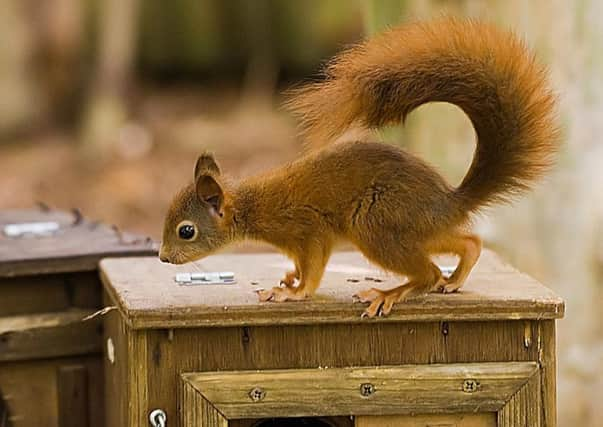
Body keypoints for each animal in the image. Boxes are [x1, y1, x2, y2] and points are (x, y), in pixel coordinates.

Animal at [158, 17, 560, 318]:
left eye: (186, 231)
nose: (162, 257)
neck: (252, 206)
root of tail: (449, 202)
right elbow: (301, 266)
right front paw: (289, 278)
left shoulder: (310, 230)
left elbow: (313, 268)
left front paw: (294, 293)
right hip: (418, 229)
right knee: (468, 241)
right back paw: (455, 277)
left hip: (376, 222)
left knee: (428, 272)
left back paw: (389, 294)